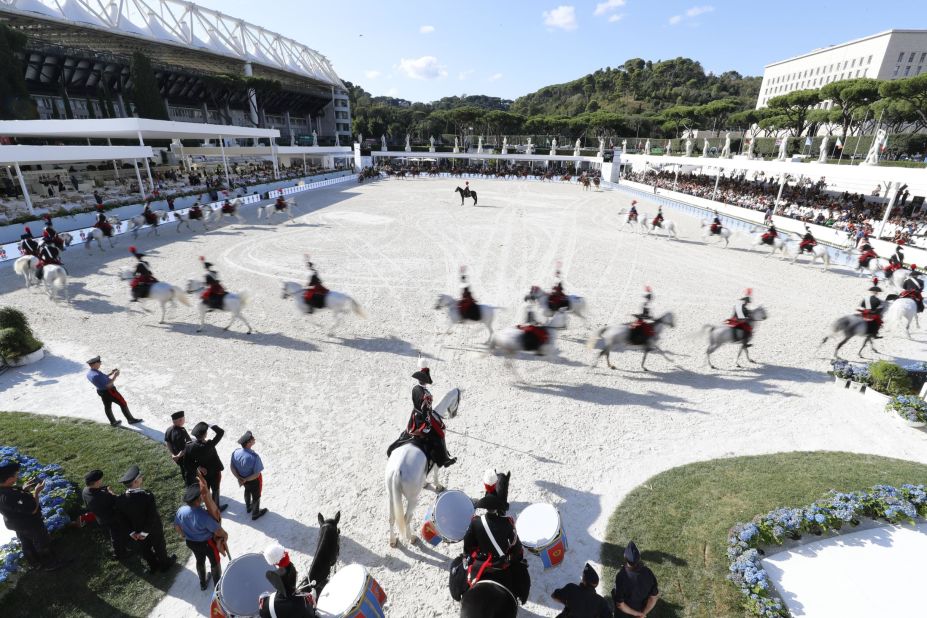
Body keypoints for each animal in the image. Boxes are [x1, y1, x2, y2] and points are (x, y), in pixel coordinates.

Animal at [384, 388, 460, 548]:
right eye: (458, 400)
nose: (454, 414)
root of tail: (396, 471)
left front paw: (425, 483)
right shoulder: (437, 460)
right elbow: (436, 472)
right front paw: (438, 486)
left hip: (391, 496)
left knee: (392, 518)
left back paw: (393, 540)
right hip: (412, 499)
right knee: (406, 518)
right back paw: (411, 537)